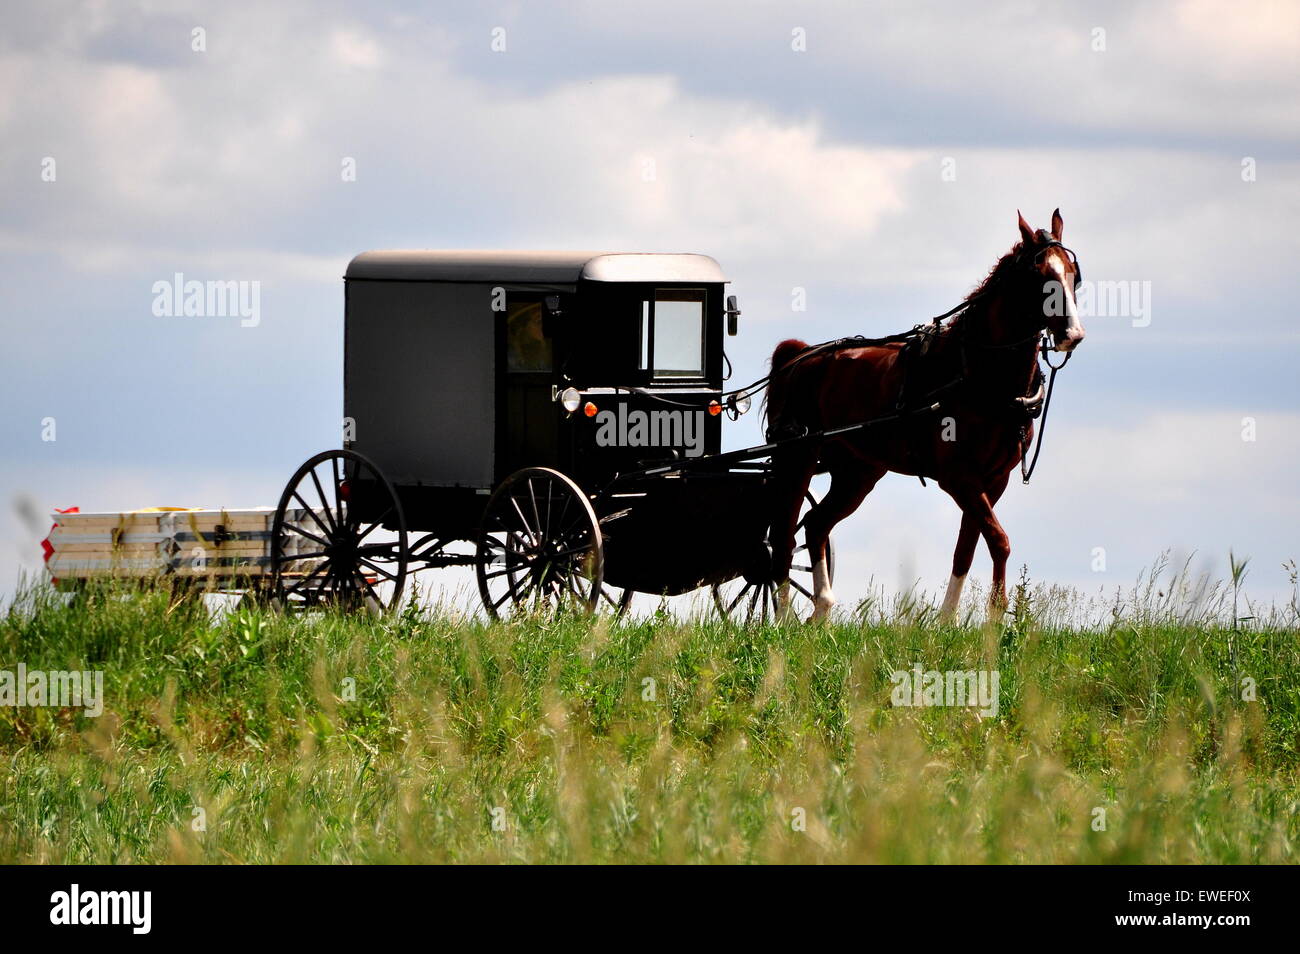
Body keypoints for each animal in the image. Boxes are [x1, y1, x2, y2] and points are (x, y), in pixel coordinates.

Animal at [764, 209, 1081, 623]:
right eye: (1039, 274)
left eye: (1073, 273)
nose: (1073, 333)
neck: (975, 372)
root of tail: (801, 354)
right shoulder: (958, 477)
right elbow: (999, 540)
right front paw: (995, 615)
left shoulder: (993, 481)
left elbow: (967, 548)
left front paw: (948, 622)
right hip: (796, 458)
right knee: (783, 535)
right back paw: (784, 619)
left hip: (858, 472)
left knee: (816, 526)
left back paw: (822, 610)